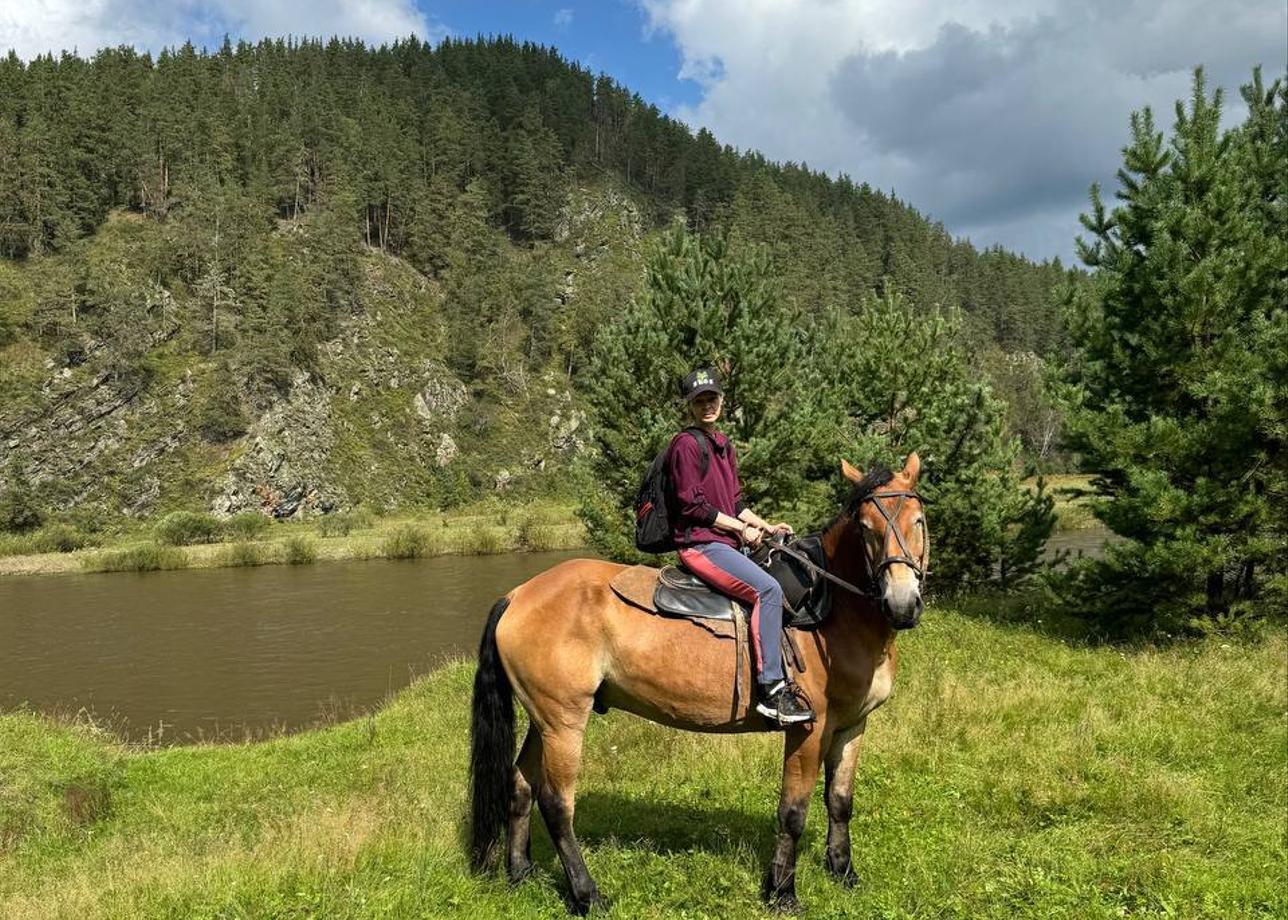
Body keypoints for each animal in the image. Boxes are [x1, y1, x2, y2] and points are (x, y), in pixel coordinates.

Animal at [468, 450, 932, 912]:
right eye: (865, 528)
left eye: (919, 520)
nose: (901, 603)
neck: (834, 608)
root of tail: (518, 594)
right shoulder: (809, 731)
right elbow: (793, 812)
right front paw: (782, 892)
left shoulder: (852, 726)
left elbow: (839, 801)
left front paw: (843, 872)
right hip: (564, 722)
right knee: (556, 803)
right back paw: (588, 895)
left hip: (543, 720)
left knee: (519, 785)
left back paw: (520, 873)